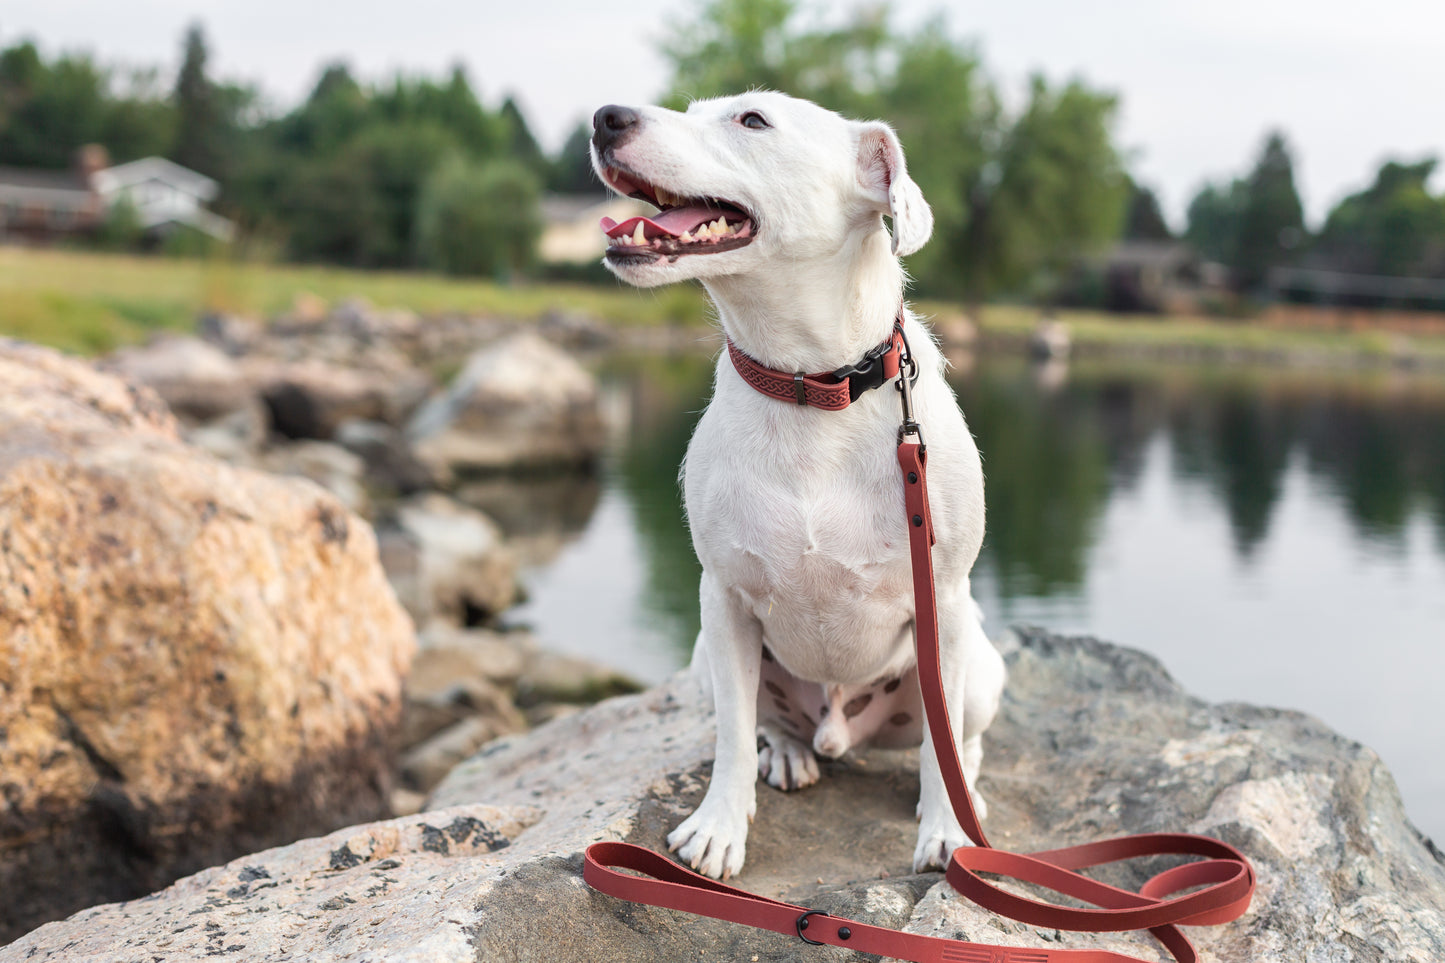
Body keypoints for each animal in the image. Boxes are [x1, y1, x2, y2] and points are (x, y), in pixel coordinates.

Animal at [586, 90, 1005, 879]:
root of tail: (840, 728)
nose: (604, 117)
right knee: (765, 720)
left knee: (955, 737)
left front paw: (948, 830)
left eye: (752, 120)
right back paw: (785, 750)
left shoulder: (945, 598)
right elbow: (729, 734)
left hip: (980, 666)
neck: (812, 387)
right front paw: (719, 826)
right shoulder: (722, 600)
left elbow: (939, 753)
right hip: (704, 660)